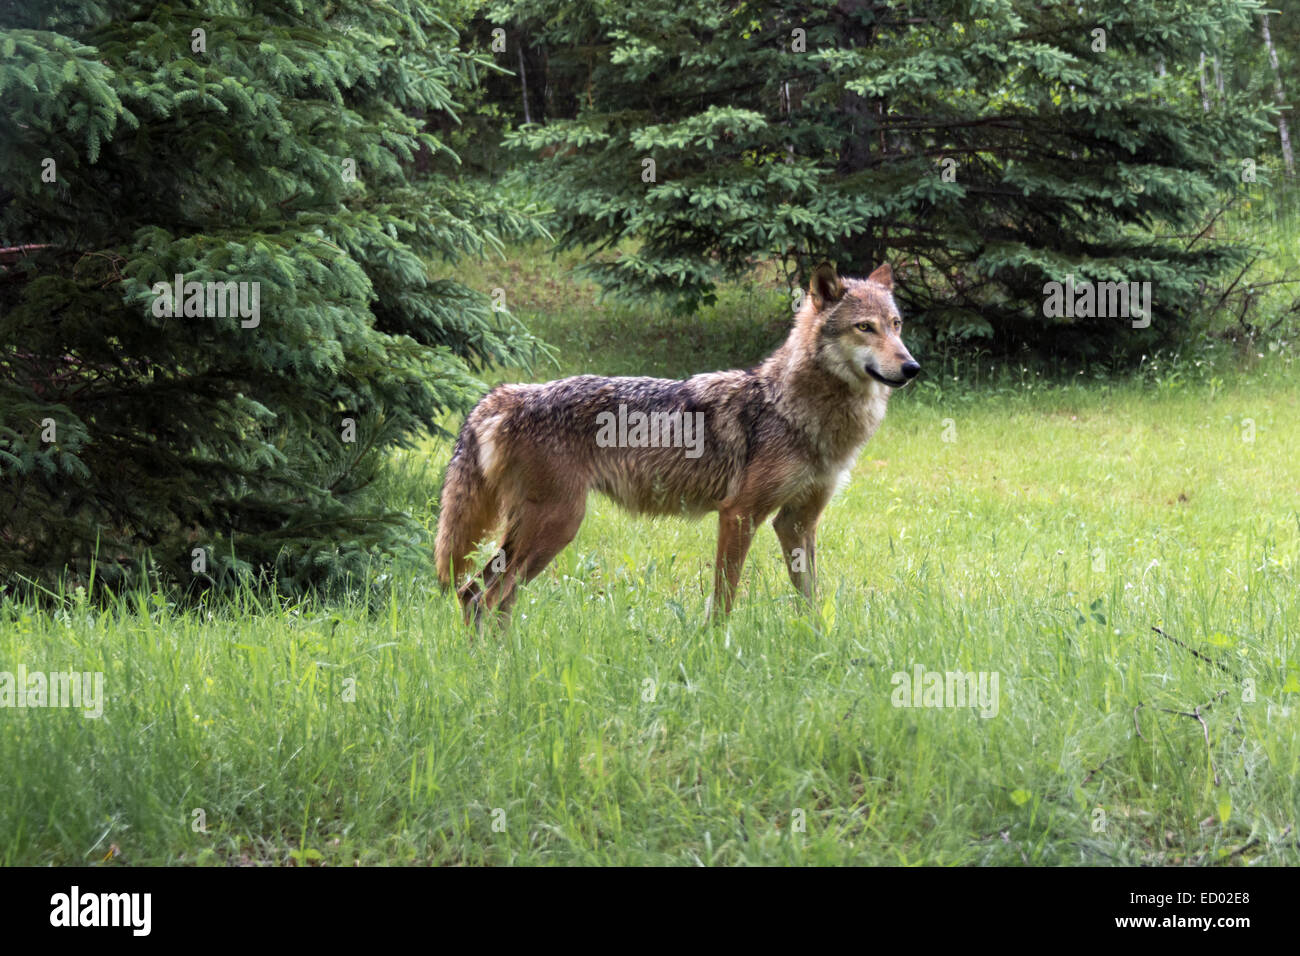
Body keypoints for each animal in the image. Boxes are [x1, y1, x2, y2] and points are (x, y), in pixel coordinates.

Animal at [435, 262, 919, 626]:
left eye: (895, 326)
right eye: (865, 328)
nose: (912, 366)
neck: (791, 406)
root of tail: (506, 394)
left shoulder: (797, 522)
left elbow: (810, 600)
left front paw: (816, 644)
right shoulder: (739, 514)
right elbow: (724, 599)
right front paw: (715, 647)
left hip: (537, 533)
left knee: (477, 595)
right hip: (557, 526)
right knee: (485, 598)